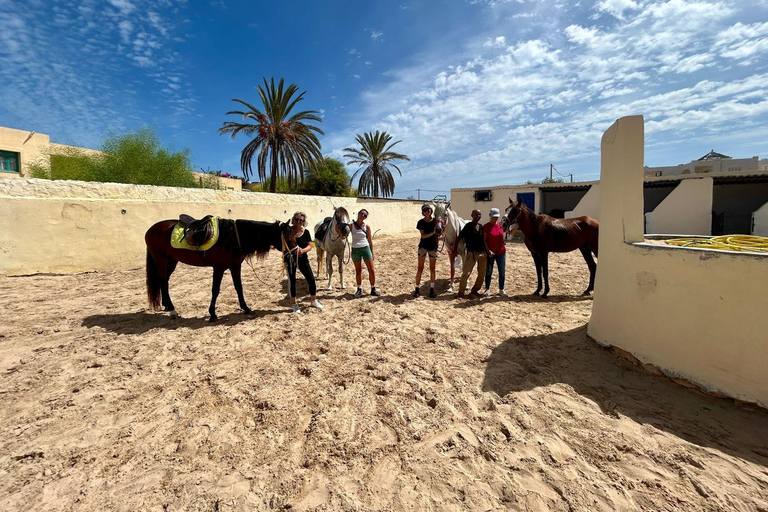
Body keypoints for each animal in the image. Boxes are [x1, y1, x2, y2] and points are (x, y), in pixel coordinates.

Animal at [144, 216, 294, 320]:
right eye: (288, 238)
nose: (293, 253)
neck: (232, 238)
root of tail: (151, 229)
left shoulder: (235, 266)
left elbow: (239, 287)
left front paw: (246, 308)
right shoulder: (219, 268)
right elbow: (215, 290)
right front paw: (212, 314)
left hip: (171, 261)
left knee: (164, 281)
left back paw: (166, 305)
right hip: (161, 259)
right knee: (163, 281)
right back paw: (173, 310)